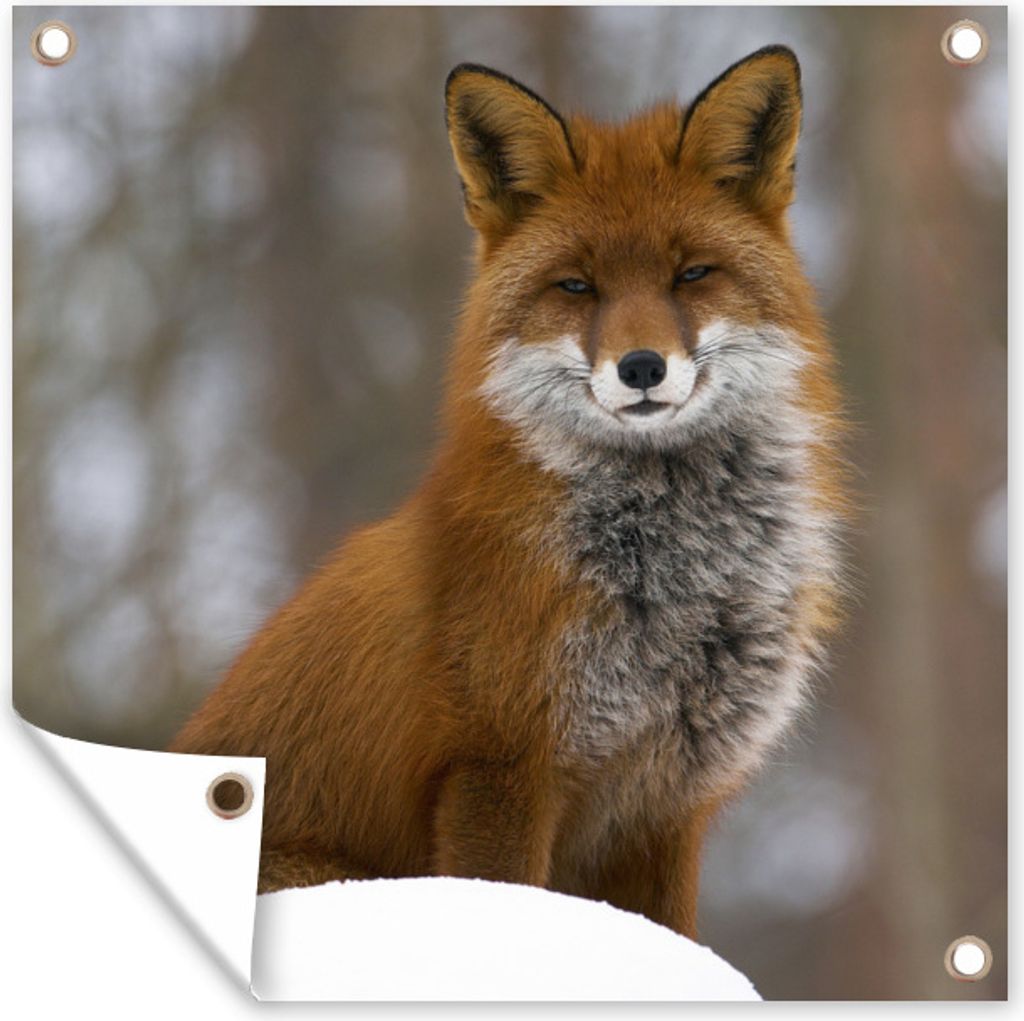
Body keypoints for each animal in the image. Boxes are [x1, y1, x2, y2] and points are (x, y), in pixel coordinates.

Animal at [169, 45, 846, 940]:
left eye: (693, 273)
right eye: (577, 287)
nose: (641, 367)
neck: (674, 588)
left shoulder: (666, 804)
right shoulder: (499, 766)